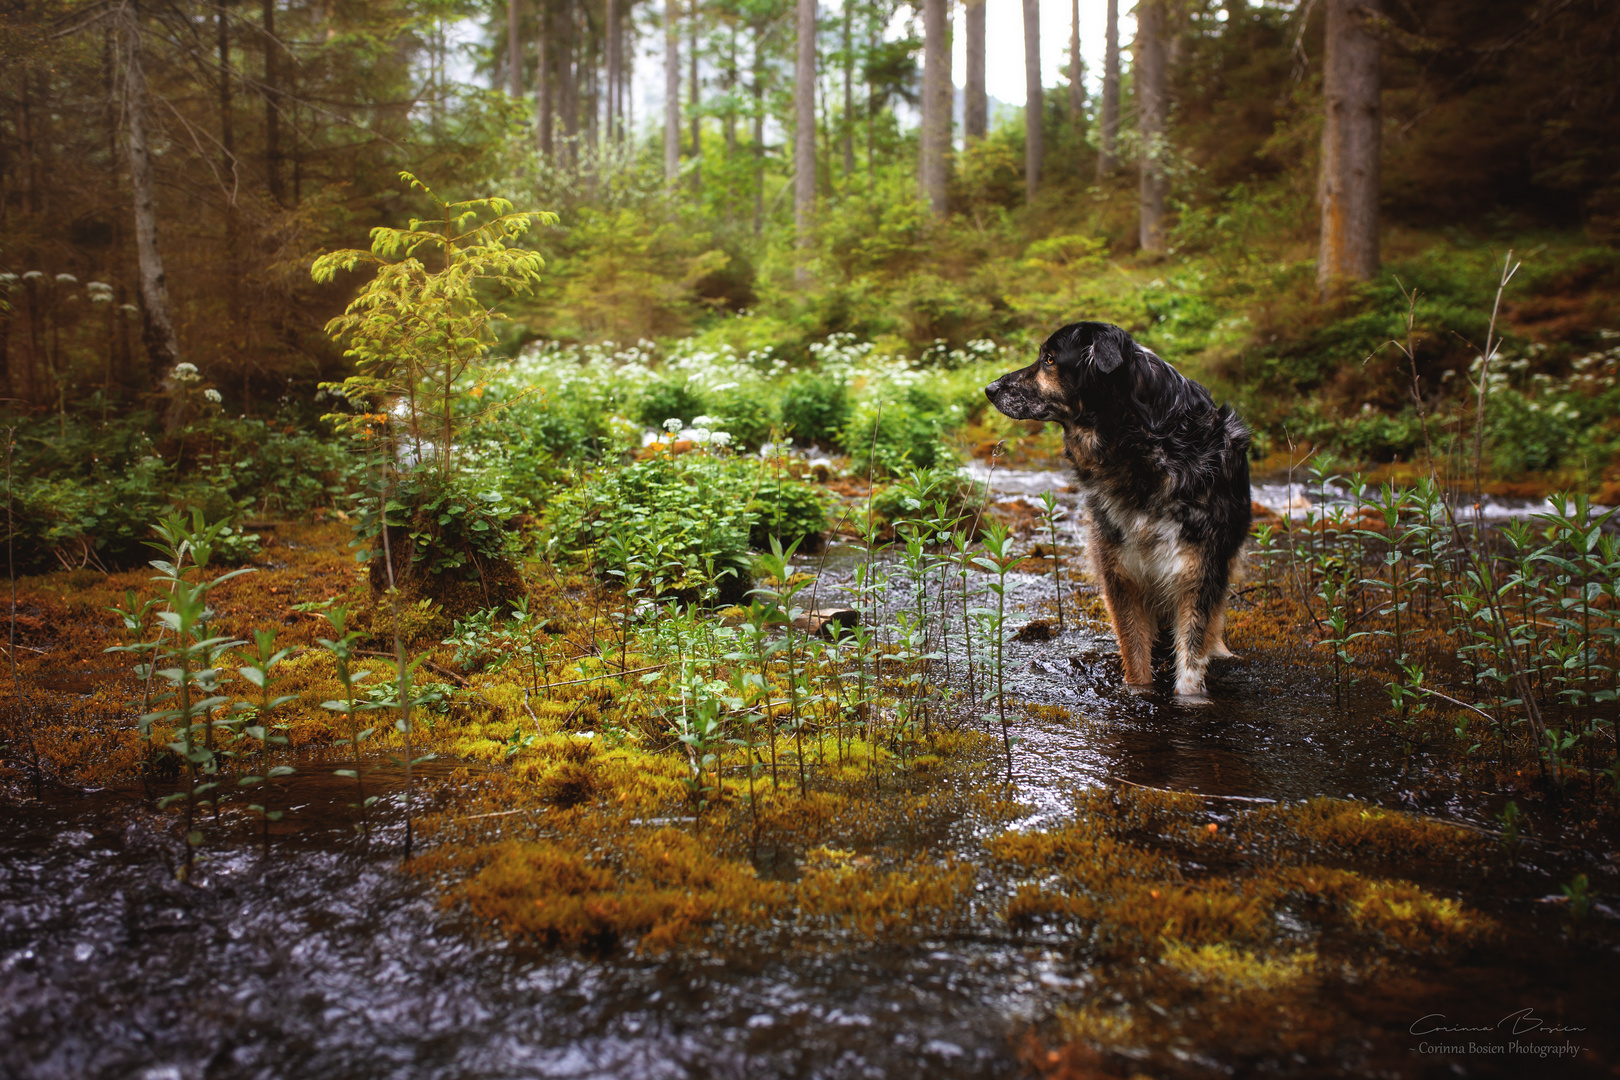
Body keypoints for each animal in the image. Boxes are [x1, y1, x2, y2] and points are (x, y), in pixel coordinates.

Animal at [984, 320, 1250, 702]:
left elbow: (1192, 656)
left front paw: (1191, 700)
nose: (989, 389)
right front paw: (1138, 693)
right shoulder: (1120, 573)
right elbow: (1136, 657)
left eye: (1049, 359)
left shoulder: (1199, 571)